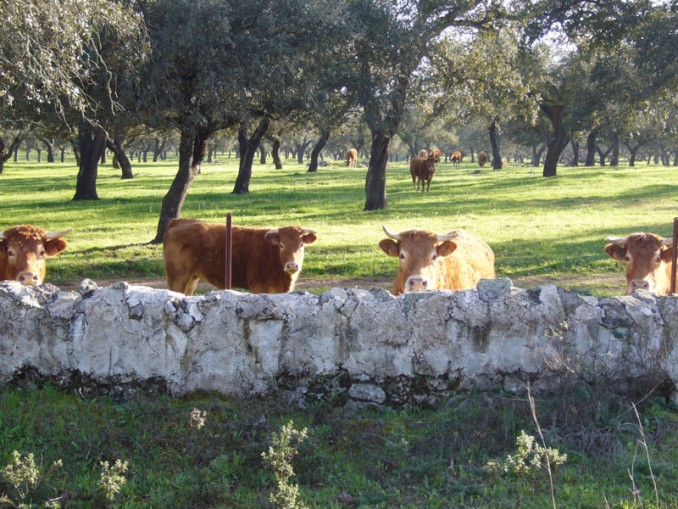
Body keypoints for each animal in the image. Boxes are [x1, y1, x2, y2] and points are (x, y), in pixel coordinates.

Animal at [163, 218, 317, 295]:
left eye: (301, 244)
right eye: (281, 245)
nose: (292, 265)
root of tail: (180, 221)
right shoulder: (259, 287)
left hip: (191, 279)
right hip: (177, 278)